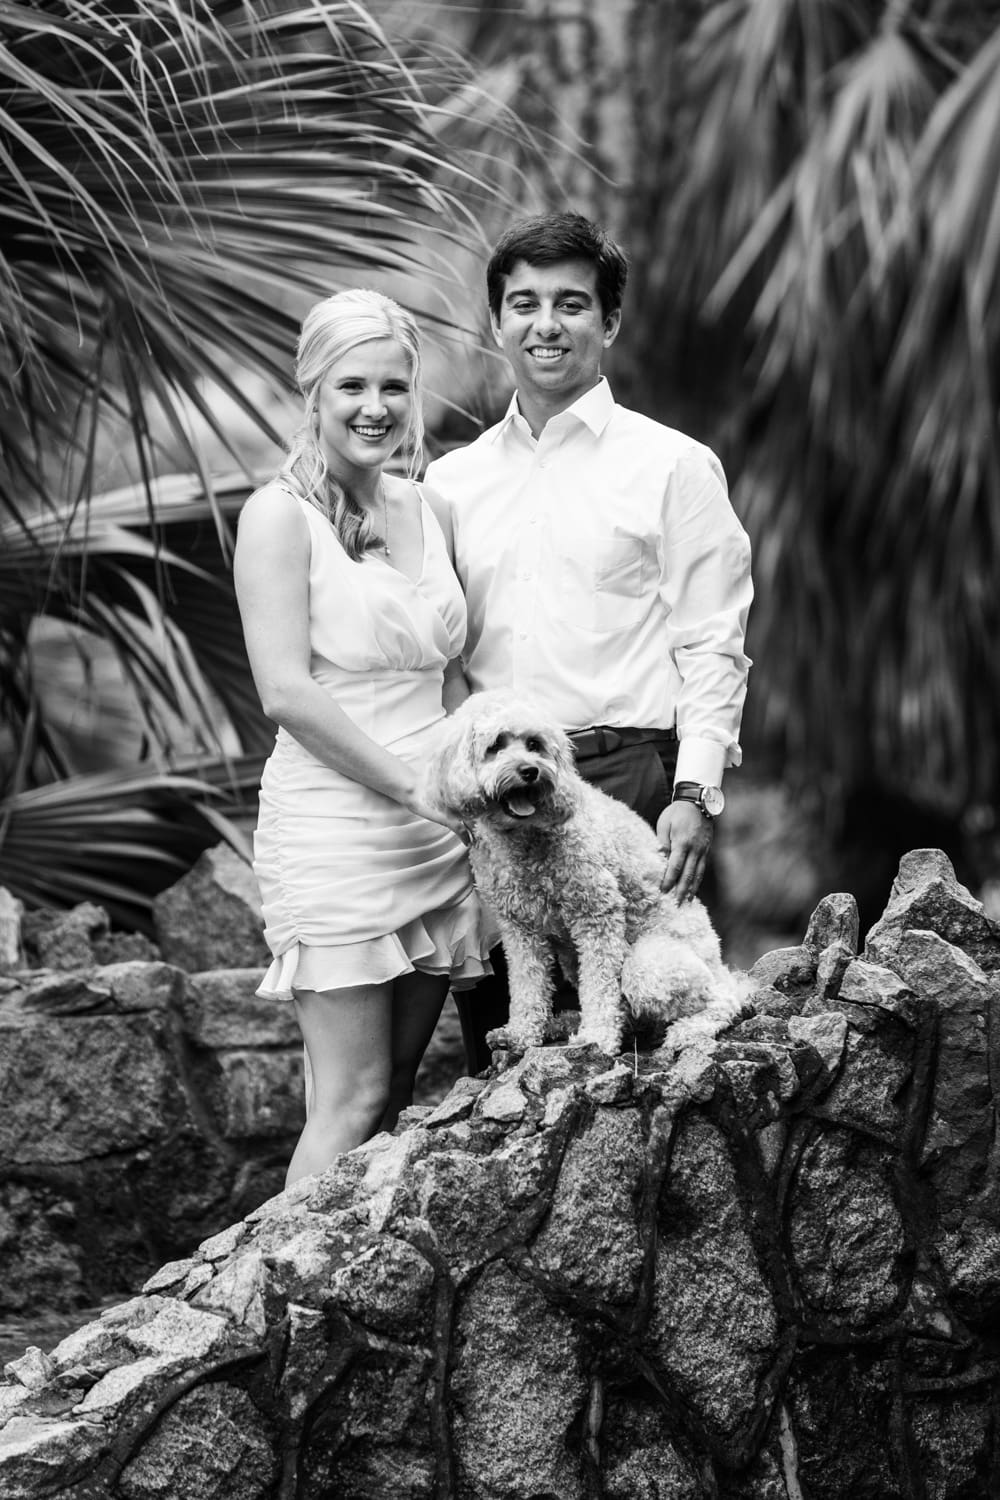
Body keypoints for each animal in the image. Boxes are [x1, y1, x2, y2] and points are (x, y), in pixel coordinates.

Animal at [425, 690, 755, 1056]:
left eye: (534, 744)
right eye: (496, 744)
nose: (530, 771)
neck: (525, 837)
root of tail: (721, 967)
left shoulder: (597, 913)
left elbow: (599, 984)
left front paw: (597, 1037)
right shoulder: (519, 927)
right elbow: (527, 984)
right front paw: (521, 1033)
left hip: (651, 966)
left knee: (721, 999)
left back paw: (687, 1030)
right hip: (573, 958)